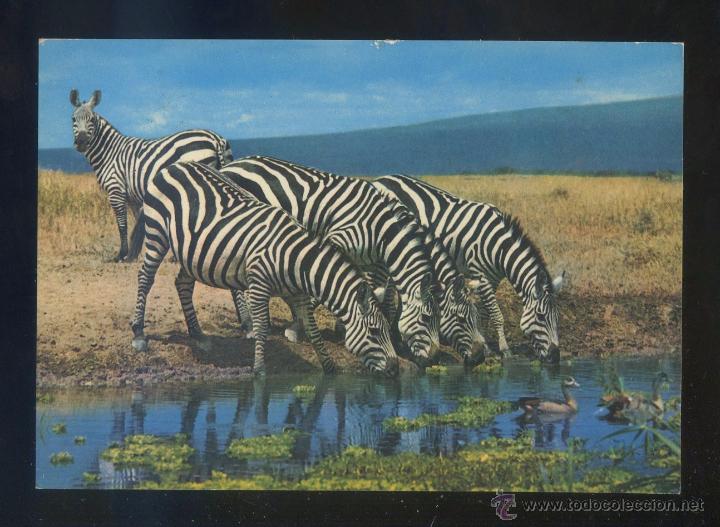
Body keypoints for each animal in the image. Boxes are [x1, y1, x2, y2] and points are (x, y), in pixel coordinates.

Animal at [69, 89, 233, 262]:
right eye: (73, 119)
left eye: (92, 120)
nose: (81, 142)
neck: (110, 153)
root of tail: (216, 138)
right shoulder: (133, 198)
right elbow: (138, 223)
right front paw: (135, 253)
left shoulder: (116, 191)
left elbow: (122, 224)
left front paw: (122, 254)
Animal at [130, 161, 399, 377]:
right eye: (374, 332)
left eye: (388, 330)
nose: (394, 370)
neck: (295, 260)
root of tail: (174, 165)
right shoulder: (258, 285)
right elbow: (262, 329)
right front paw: (259, 371)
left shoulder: (299, 294)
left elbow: (313, 331)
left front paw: (329, 369)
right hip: (156, 234)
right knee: (145, 277)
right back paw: (139, 333)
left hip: (192, 251)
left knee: (183, 283)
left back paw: (198, 334)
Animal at [214, 155, 443, 367]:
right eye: (426, 318)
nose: (432, 361)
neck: (380, 231)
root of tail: (232, 165)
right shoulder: (336, 240)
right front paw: (296, 328)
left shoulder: (369, 262)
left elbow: (363, 291)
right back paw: (250, 324)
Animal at [372, 175, 565, 363]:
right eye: (541, 316)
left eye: (557, 318)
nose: (556, 357)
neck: (499, 247)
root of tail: (381, 178)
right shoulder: (481, 275)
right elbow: (496, 314)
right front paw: (504, 349)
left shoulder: (492, 279)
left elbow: (485, 314)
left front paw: (485, 344)